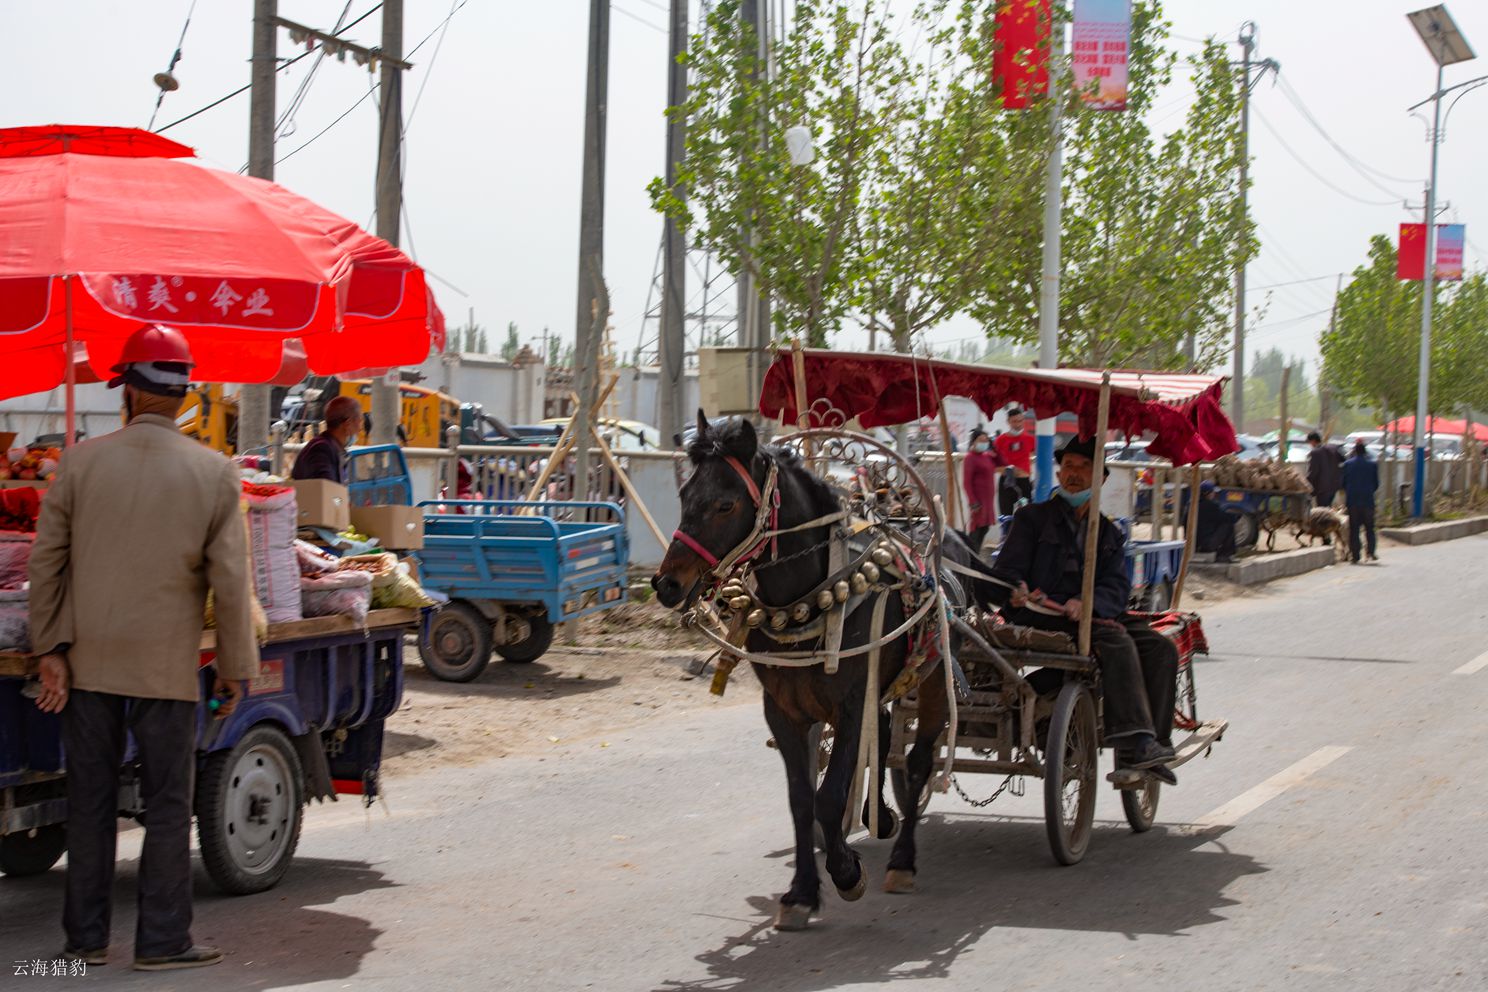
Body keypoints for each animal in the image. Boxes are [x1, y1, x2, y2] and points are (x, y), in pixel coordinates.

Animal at [648, 410, 946, 933]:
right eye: (684, 495)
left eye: (725, 504)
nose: (667, 583)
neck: (811, 597)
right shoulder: (783, 710)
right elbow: (802, 800)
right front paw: (802, 892)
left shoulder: (850, 706)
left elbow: (828, 798)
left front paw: (846, 872)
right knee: (886, 734)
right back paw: (880, 816)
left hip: (930, 682)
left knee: (918, 763)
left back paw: (903, 861)